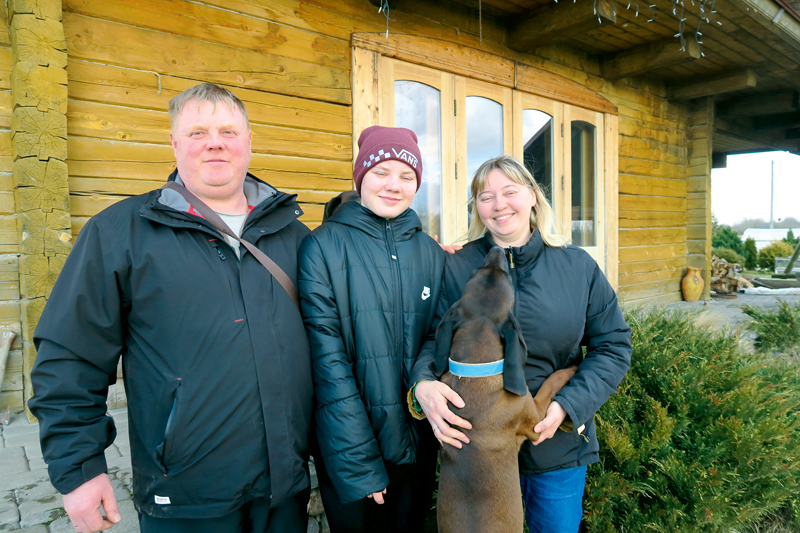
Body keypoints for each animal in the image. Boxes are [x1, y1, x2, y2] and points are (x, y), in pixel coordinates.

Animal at [432, 246, 576, 532]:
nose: (498, 249)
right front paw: (570, 368)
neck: (474, 370)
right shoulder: (535, 418)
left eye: (476, 271)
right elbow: (550, 383)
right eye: (507, 278)